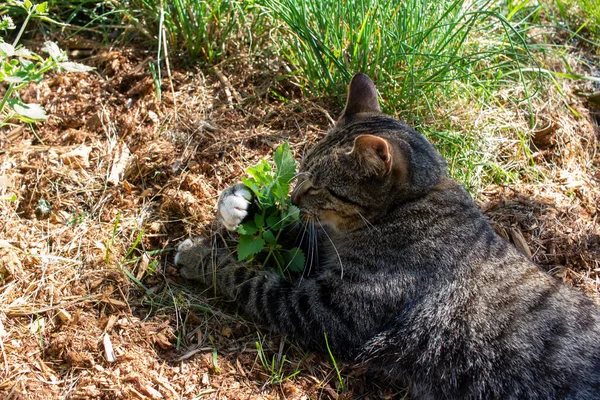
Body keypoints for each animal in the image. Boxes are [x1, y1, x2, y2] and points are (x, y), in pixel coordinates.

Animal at [173, 73, 600, 398]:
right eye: (300, 172)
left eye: (318, 187)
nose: (293, 196)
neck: (411, 202)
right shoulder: (323, 244)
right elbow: (285, 229)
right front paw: (241, 204)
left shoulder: (328, 309)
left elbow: (251, 280)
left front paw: (198, 257)